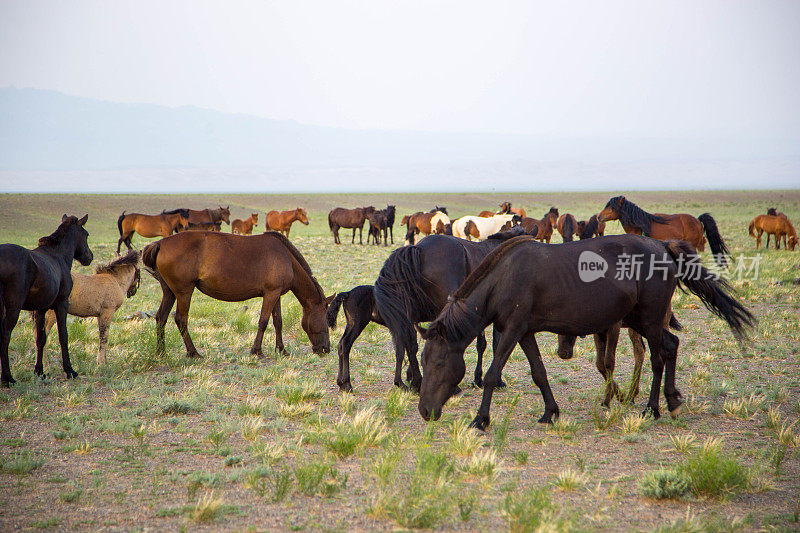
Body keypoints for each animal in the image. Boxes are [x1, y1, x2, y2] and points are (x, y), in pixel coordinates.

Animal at [0, 214, 93, 384]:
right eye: (86, 234)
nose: (89, 257)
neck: (58, 255)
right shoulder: (62, 304)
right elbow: (63, 335)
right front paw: (69, 370)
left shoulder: (40, 309)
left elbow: (40, 338)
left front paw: (39, 371)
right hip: (13, 308)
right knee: (5, 335)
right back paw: (8, 377)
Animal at [142, 231, 332, 356]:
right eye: (326, 318)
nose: (326, 349)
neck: (286, 258)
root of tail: (161, 243)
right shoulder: (271, 294)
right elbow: (263, 322)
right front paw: (257, 351)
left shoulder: (276, 294)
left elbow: (278, 322)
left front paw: (282, 350)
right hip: (184, 292)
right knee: (180, 320)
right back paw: (193, 352)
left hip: (170, 292)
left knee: (161, 317)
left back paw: (161, 352)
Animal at [418, 235, 756, 430]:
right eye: (422, 361)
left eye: (437, 363)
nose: (423, 411)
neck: (503, 279)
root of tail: (662, 246)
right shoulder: (524, 332)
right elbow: (539, 373)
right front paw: (550, 412)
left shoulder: (512, 330)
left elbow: (491, 375)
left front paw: (481, 419)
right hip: (641, 320)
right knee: (671, 347)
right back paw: (670, 401)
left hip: (648, 320)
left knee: (660, 356)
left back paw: (652, 408)